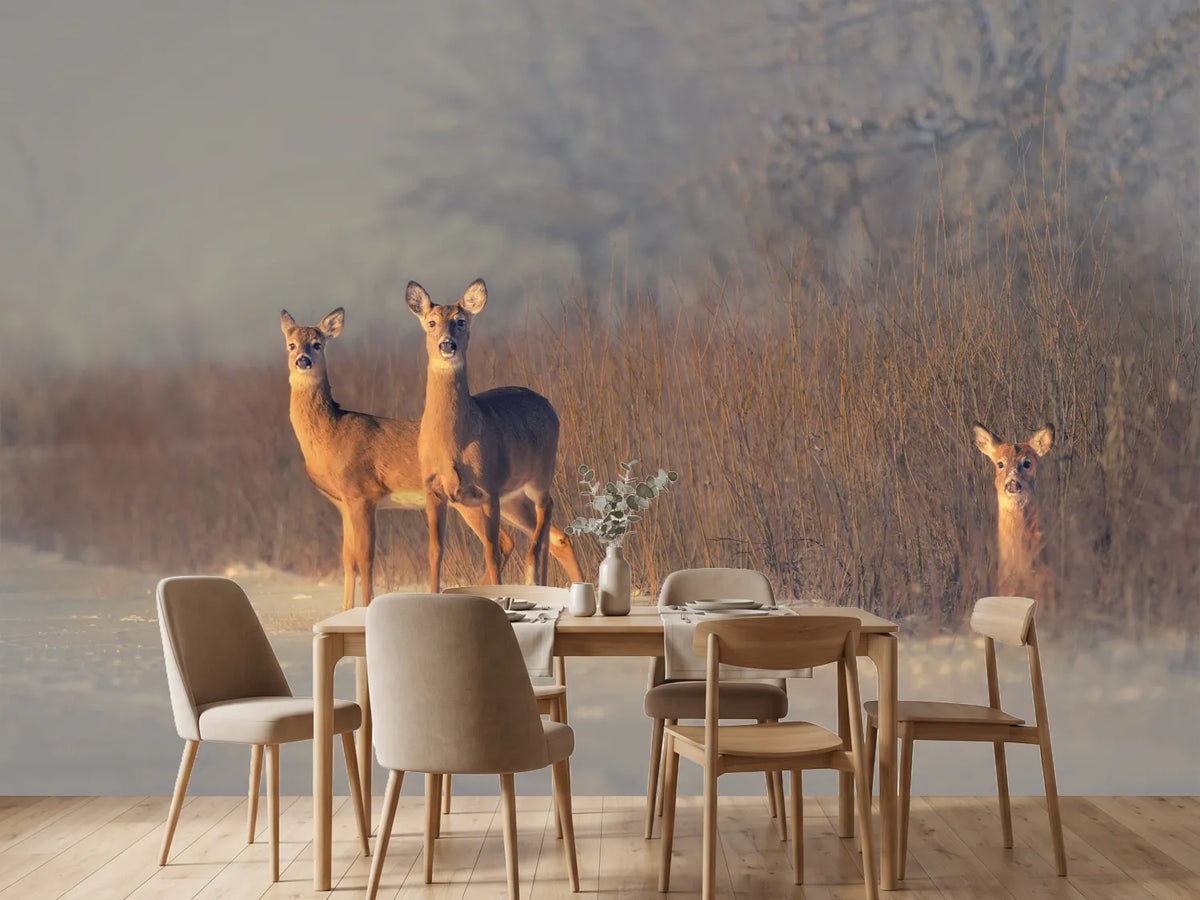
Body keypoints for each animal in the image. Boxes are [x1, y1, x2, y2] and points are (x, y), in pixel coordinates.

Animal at [281, 307, 524, 611]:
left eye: (317, 344)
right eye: (291, 344)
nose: (303, 360)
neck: (331, 436)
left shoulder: (362, 494)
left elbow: (366, 558)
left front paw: (364, 607)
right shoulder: (343, 504)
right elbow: (348, 559)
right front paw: (344, 610)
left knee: (503, 542)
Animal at [406, 278, 583, 592]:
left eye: (461, 321)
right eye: (431, 322)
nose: (447, 344)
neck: (453, 443)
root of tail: (549, 405)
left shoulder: (488, 487)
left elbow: (491, 550)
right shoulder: (434, 489)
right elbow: (435, 550)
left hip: (539, 474)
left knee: (547, 509)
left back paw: (535, 576)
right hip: (512, 497)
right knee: (556, 535)